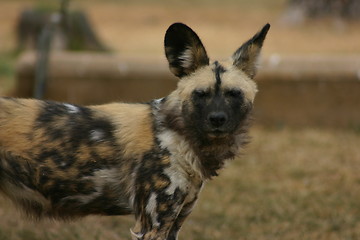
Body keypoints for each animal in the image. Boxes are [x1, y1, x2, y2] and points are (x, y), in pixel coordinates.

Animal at [0, 22, 270, 238]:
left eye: (233, 94)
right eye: (200, 94)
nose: (217, 120)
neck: (175, 135)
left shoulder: (176, 221)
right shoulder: (153, 224)